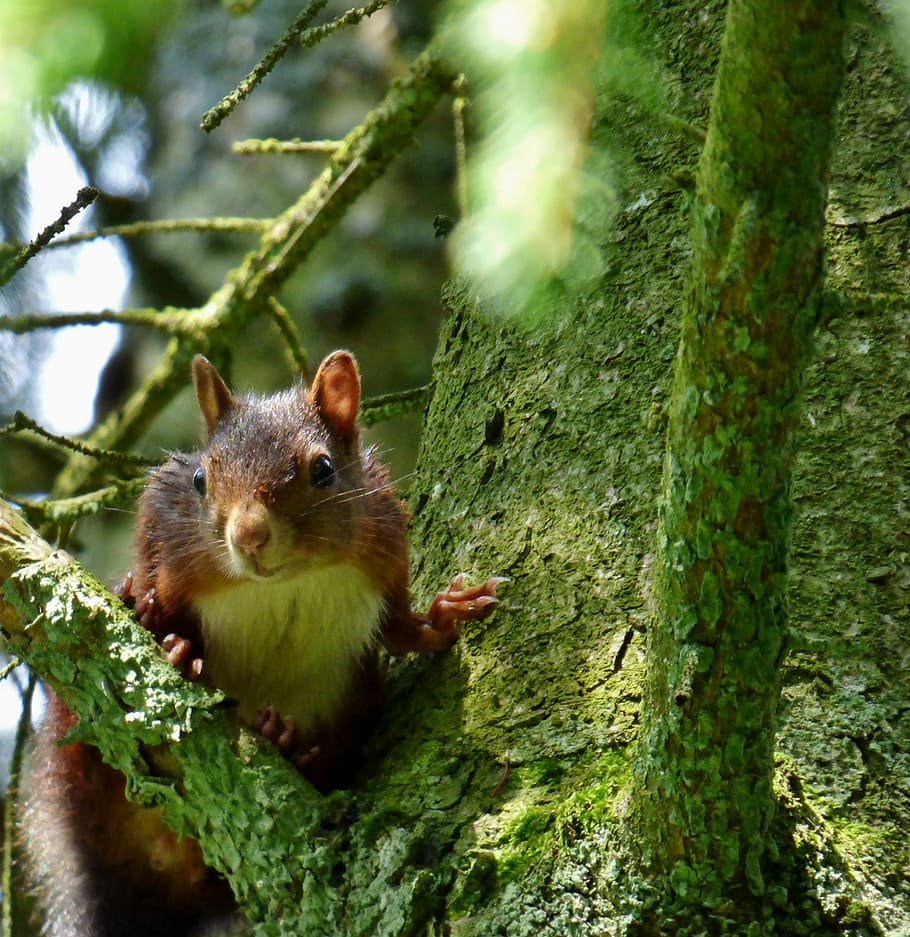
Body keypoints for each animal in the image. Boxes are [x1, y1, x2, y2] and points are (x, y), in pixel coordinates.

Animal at [23, 350, 503, 937]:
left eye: (323, 470)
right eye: (201, 478)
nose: (249, 537)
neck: (282, 583)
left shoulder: (386, 544)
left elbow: (399, 628)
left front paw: (447, 612)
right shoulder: (162, 515)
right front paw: (156, 617)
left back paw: (288, 742)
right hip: (76, 762)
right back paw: (163, 634)